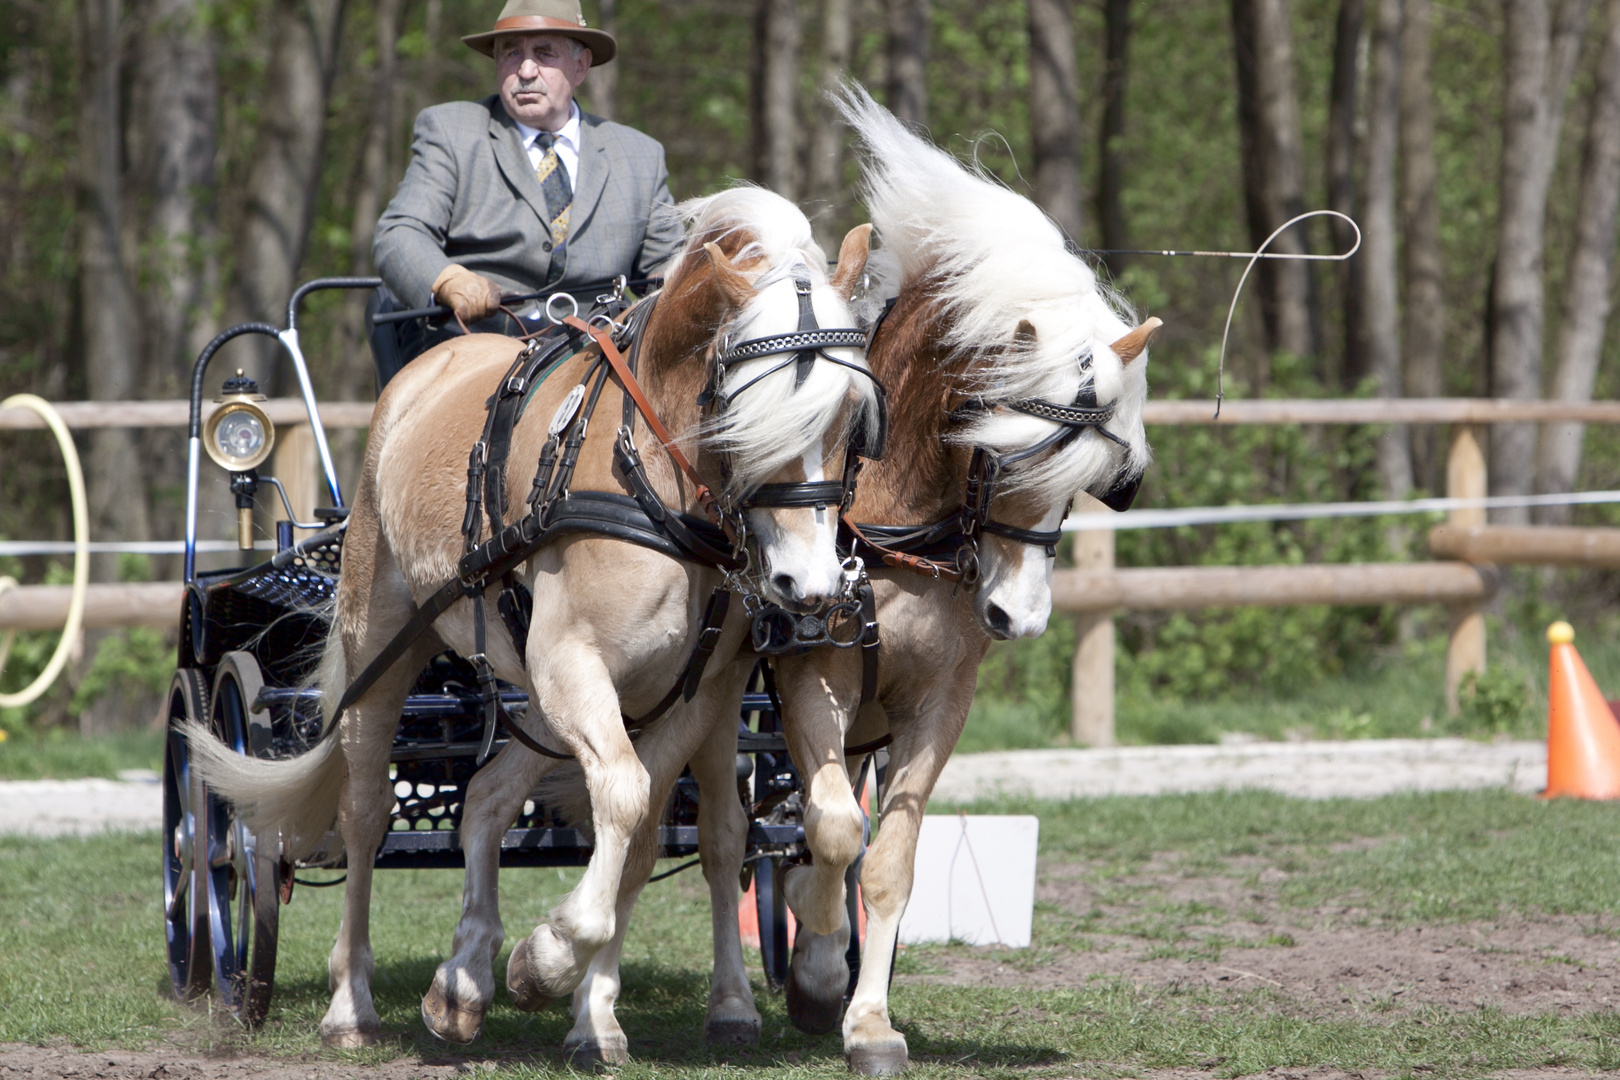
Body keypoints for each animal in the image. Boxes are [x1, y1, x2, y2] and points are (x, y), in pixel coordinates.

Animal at [186, 186, 887, 1049]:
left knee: (490, 795)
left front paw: (580, 1006)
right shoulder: (570, 662)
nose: (811, 582)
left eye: (854, 417)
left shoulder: (686, 691)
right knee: (362, 813)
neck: (649, 477)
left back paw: (462, 984)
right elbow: (621, 797)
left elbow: (643, 823)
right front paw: (548, 958)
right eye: (746, 412)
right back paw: (351, 1003)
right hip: (382, 640)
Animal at [550, 84, 1159, 1075]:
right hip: (712, 697)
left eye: (1095, 478)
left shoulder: (940, 699)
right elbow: (832, 829)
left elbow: (892, 856)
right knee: (706, 836)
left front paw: (868, 1018)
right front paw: (820, 962)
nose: (1017, 617)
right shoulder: (813, 676)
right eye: (1005, 456)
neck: (893, 517)